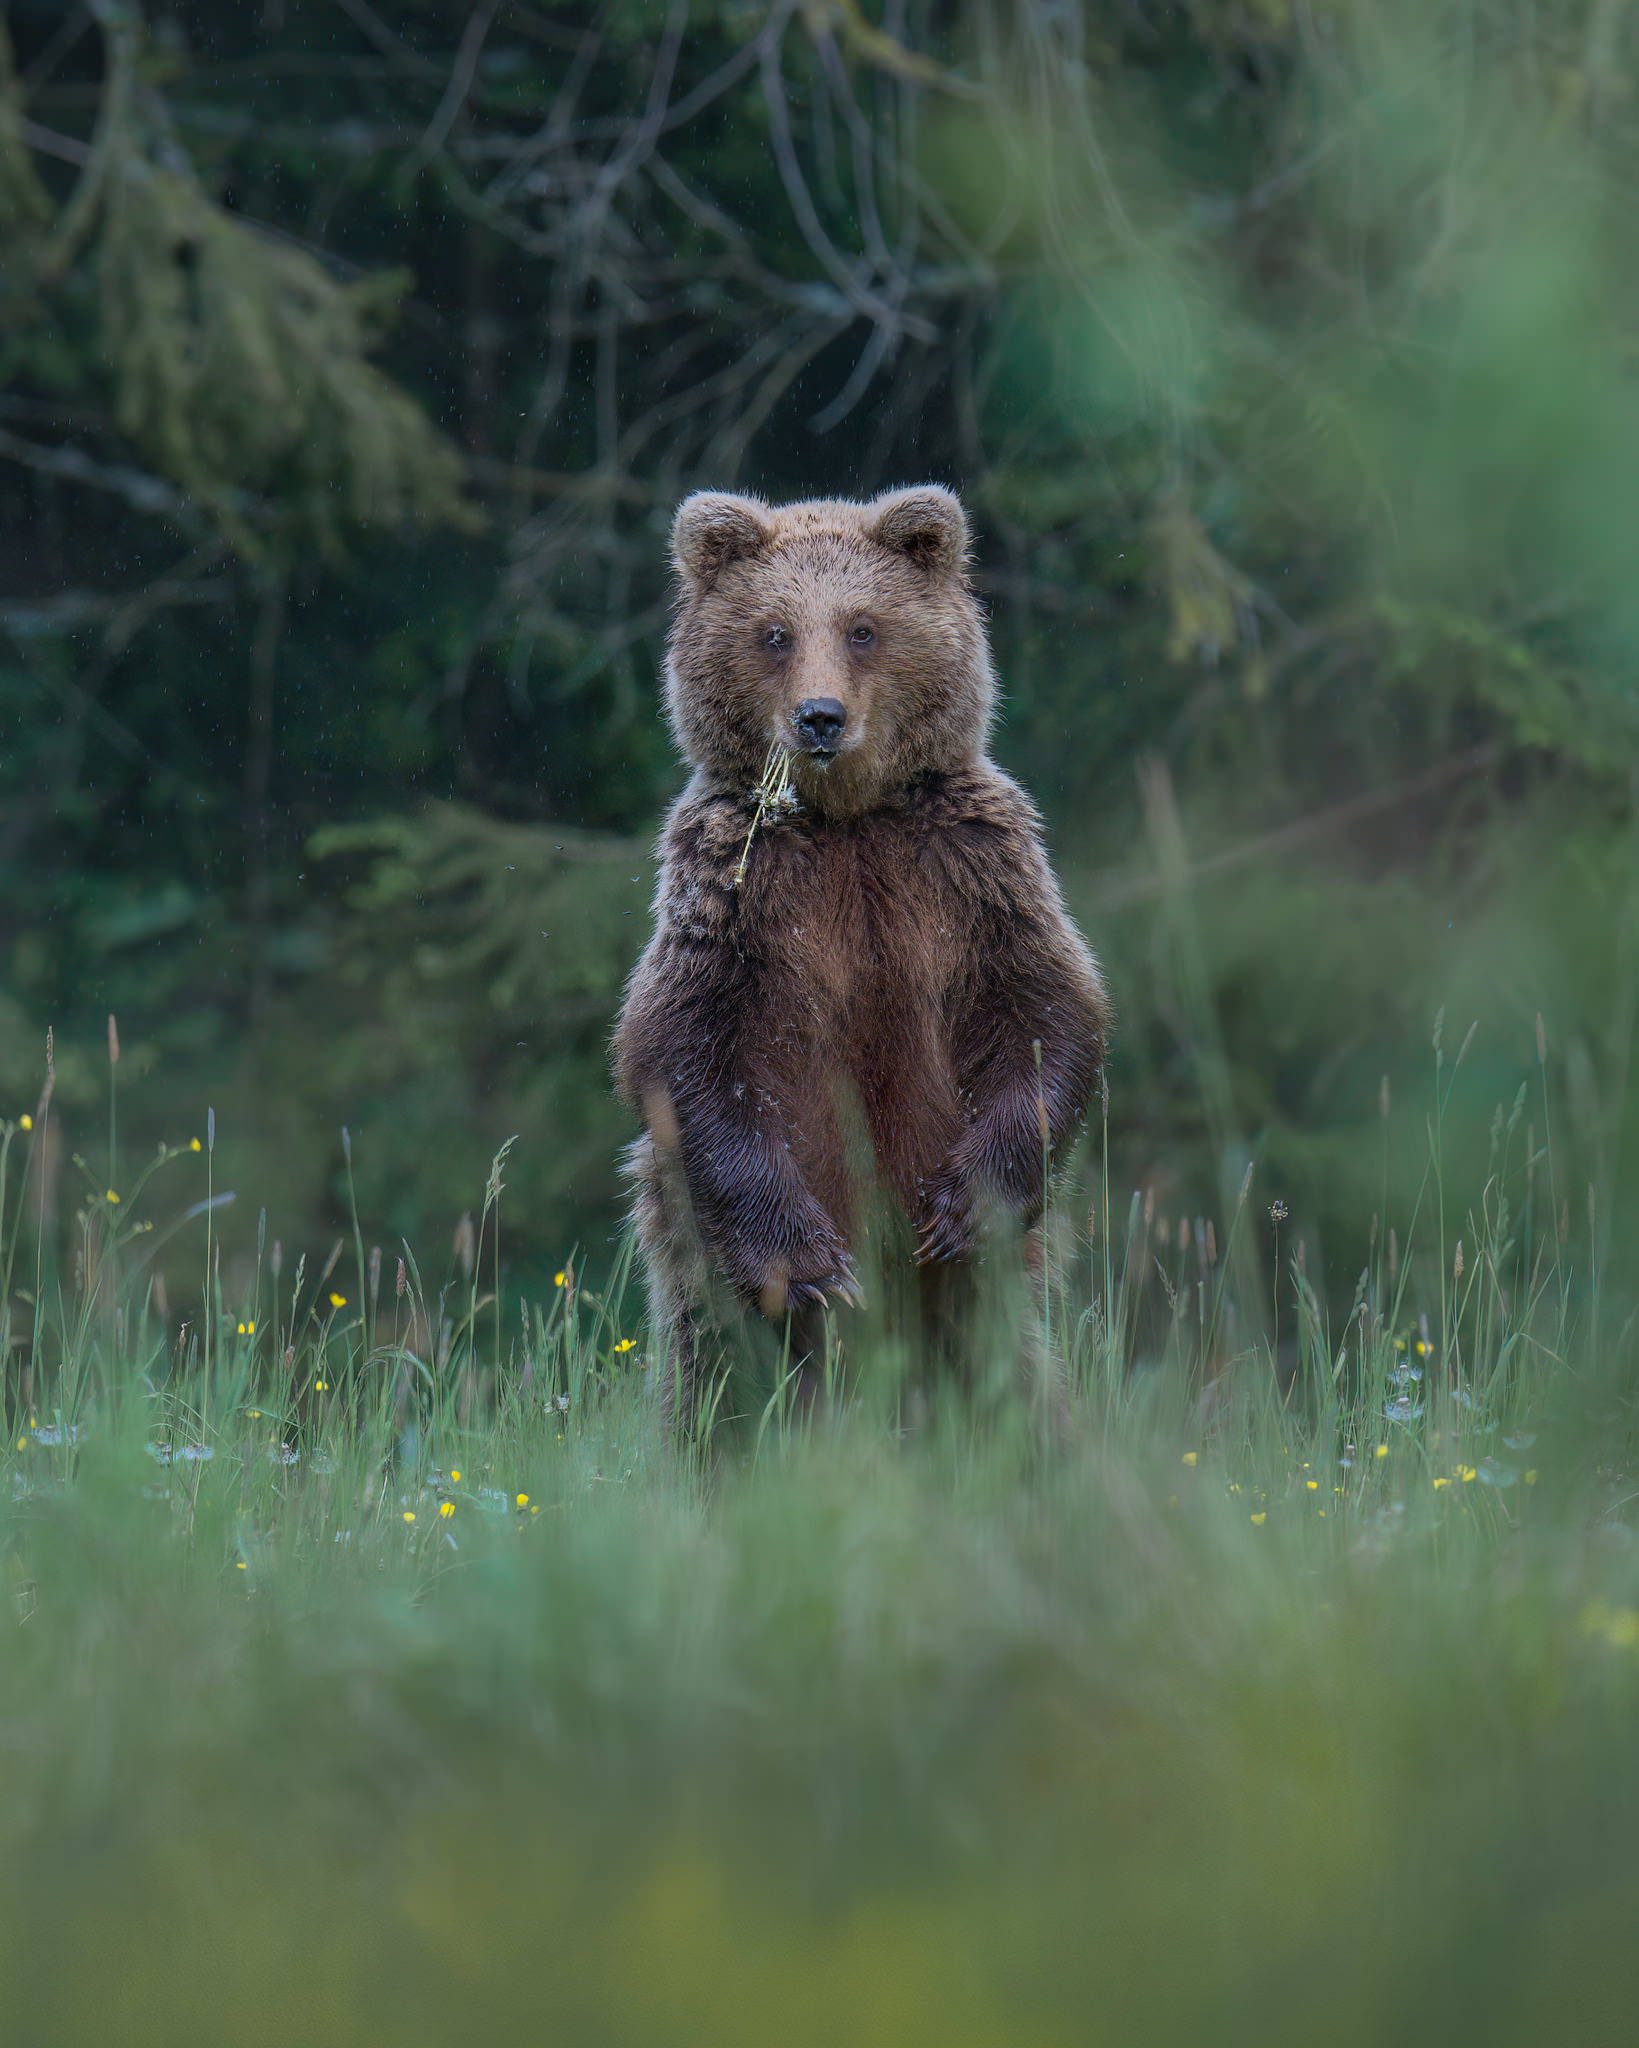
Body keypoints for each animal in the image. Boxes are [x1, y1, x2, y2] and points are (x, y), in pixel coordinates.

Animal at [612, 484, 1111, 1426]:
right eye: (774, 632)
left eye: (863, 627)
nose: (820, 717)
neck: (846, 817)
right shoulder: (737, 894)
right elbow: (685, 1052)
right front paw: (811, 1267)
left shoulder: (970, 871)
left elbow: (1046, 1007)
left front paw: (962, 1211)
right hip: (697, 1263)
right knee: (721, 1378)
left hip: (983, 1310)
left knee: (1011, 1384)